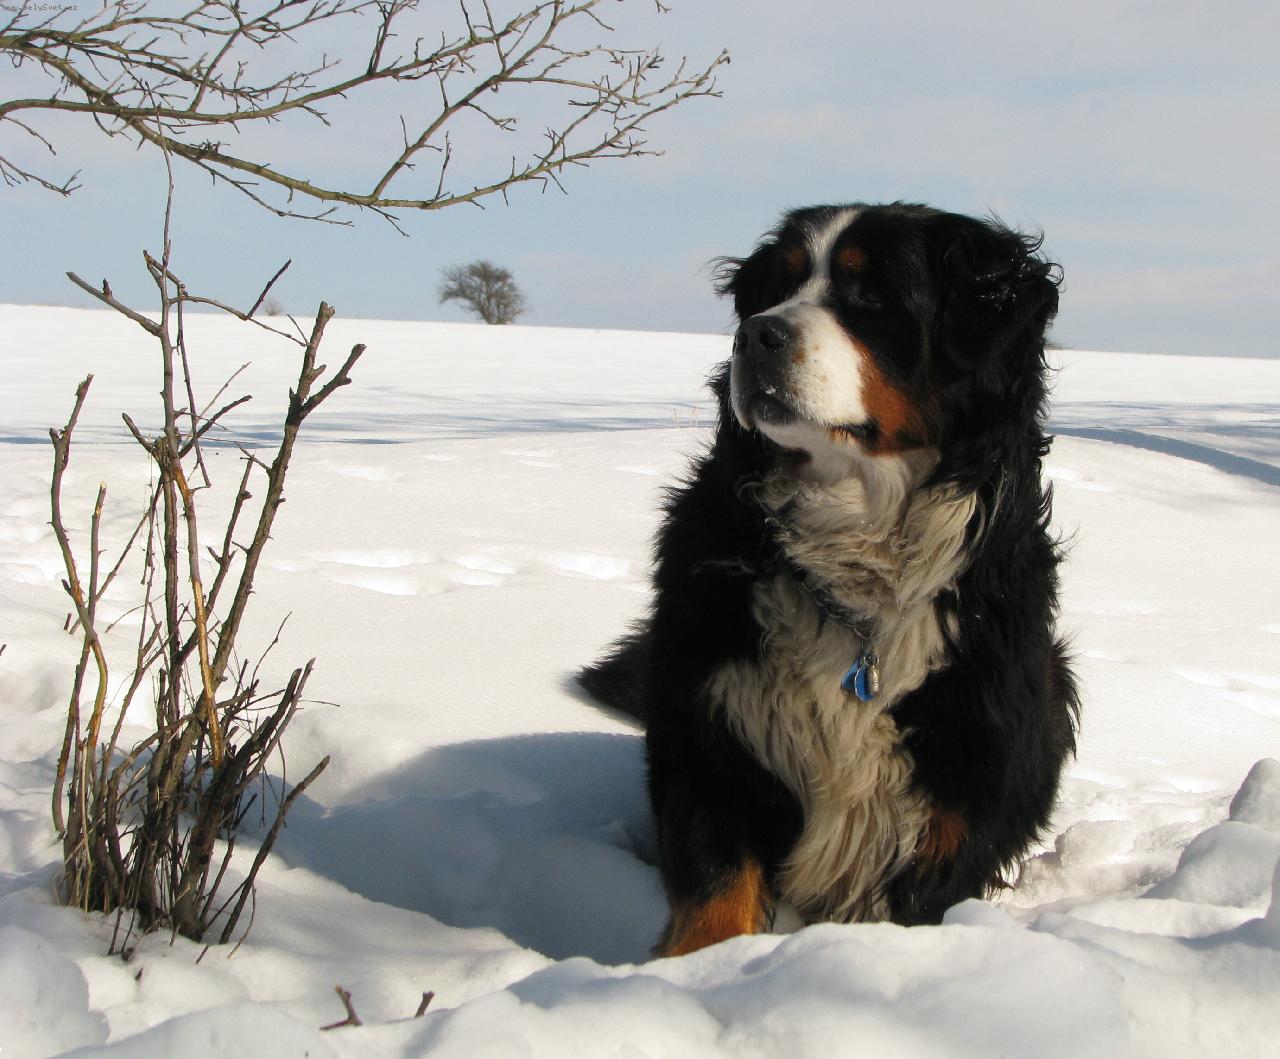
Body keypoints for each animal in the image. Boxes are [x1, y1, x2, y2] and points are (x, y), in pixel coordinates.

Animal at [580, 202, 1078, 956]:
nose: (756, 335)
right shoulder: (713, 727)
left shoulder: (957, 778)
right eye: (775, 288)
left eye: (871, 294)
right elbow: (714, 893)